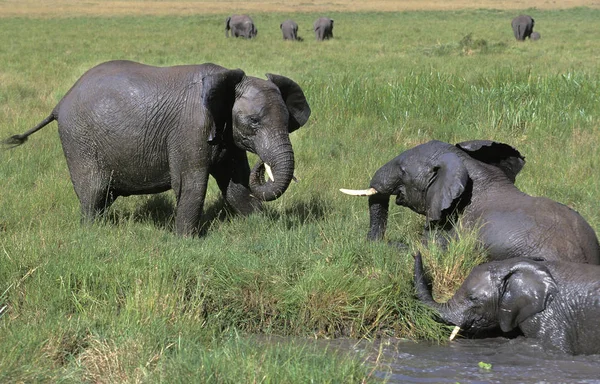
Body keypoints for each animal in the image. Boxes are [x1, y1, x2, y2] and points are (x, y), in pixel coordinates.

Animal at [4, 59, 312, 236]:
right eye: (253, 122)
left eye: (287, 121)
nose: (263, 164)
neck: (225, 82)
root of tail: (59, 104)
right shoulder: (191, 130)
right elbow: (191, 184)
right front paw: (186, 242)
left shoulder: (226, 134)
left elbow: (236, 187)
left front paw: (263, 228)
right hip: (79, 139)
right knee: (93, 192)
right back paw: (91, 235)